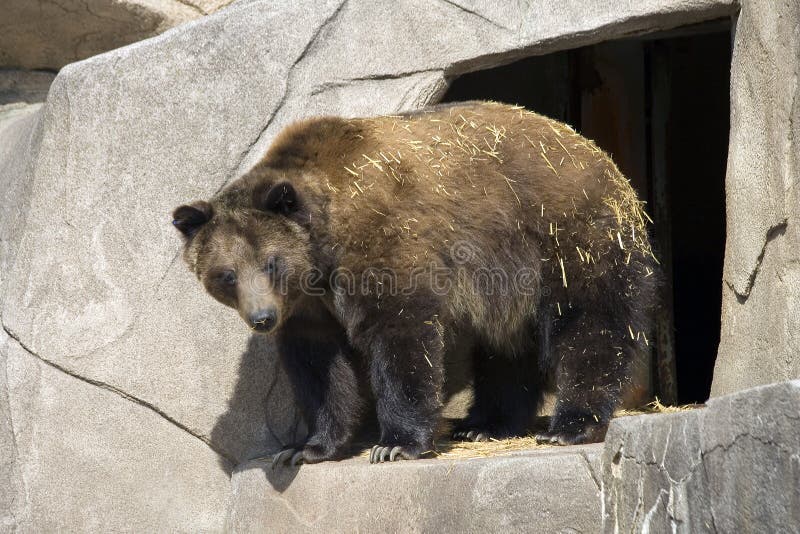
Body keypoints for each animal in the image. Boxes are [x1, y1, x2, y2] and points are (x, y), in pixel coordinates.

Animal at [172, 100, 660, 464]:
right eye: (226, 274)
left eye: (271, 263)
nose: (262, 317)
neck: (324, 247)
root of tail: (603, 158)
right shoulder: (310, 308)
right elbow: (321, 367)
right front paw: (308, 447)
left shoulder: (384, 247)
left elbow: (401, 337)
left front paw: (395, 444)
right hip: (509, 285)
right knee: (505, 348)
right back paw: (485, 424)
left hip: (564, 238)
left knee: (590, 324)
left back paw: (571, 424)